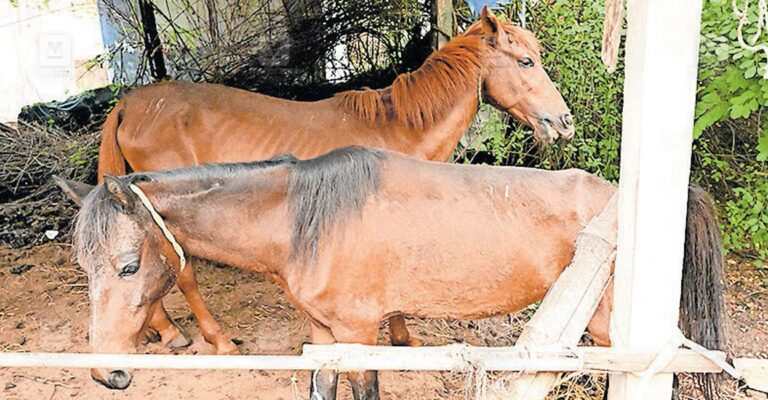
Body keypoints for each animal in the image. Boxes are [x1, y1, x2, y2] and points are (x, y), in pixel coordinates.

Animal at [56, 146, 724, 398]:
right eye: (83, 266)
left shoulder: (359, 332)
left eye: (128, 265)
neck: (309, 218)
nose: (106, 372)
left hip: (611, 331)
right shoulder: (324, 334)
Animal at [92, 7, 575, 355]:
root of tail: (130, 104)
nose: (563, 122)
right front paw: (401, 338)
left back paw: (163, 330)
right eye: (526, 61)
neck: (398, 129)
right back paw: (217, 339)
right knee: (184, 274)